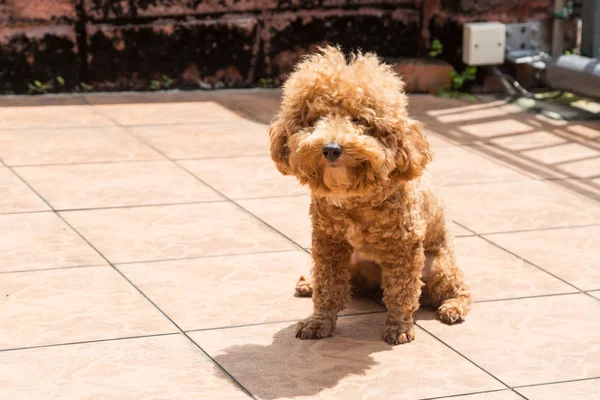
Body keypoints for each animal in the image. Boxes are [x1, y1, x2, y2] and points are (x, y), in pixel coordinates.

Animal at [270, 46, 472, 344]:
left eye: (360, 120)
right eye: (316, 119)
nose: (331, 149)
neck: (355, 198)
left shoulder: (404, 249)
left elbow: (401, 292)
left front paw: (399, 327)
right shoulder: (328, 242)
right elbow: (328, 287)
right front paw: (319, 321)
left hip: (437, 265)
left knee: (458, 289)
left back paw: (453, 307)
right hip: (355, 262)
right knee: (345, 284)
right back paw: (309, 284)